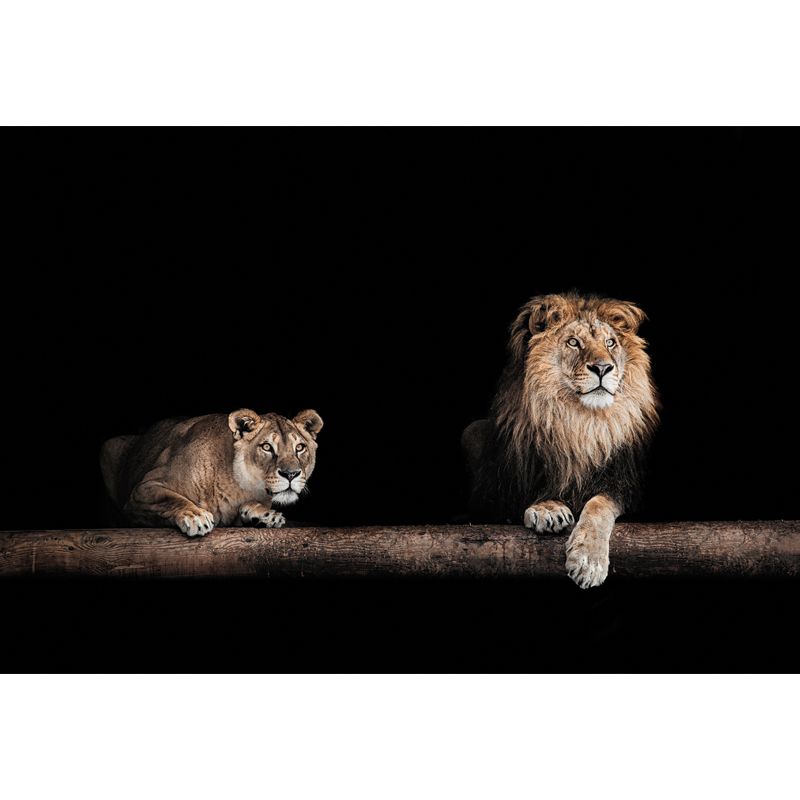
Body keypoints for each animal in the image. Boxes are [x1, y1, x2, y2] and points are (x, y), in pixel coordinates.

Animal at [100, 408, 323, 536]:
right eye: (267, 447)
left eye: (300, 447)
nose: (291, 474)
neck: (238, 486)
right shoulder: (144, 489)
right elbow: (171, 498)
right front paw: (195, 516)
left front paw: (265, 516)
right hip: (109, 446)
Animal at [462, 293, 659, 588]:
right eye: (573, 342)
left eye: (610, 343)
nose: (603, 367)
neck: (578, 423)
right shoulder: (492, 496)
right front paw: (548, 509)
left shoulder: (624, 484)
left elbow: (599, 504)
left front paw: (588, 562)